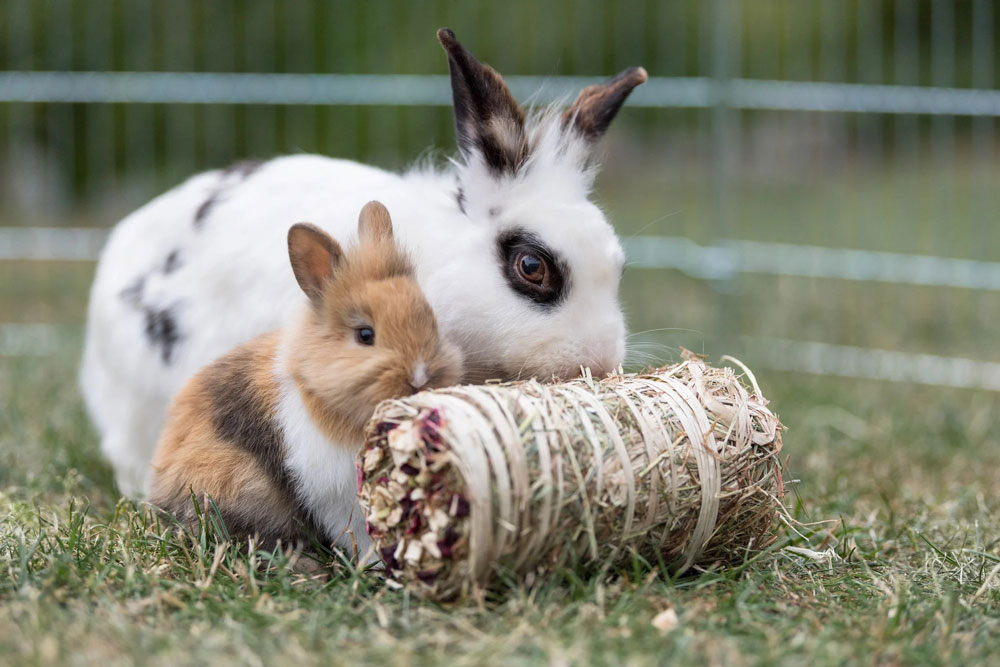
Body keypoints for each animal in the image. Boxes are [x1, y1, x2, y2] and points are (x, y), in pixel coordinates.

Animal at [150, 201, 462, 560]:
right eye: (365, 335)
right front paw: (373, 564)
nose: (421, 376)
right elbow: (357, 533)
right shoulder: (336, 496)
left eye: (430, 317)